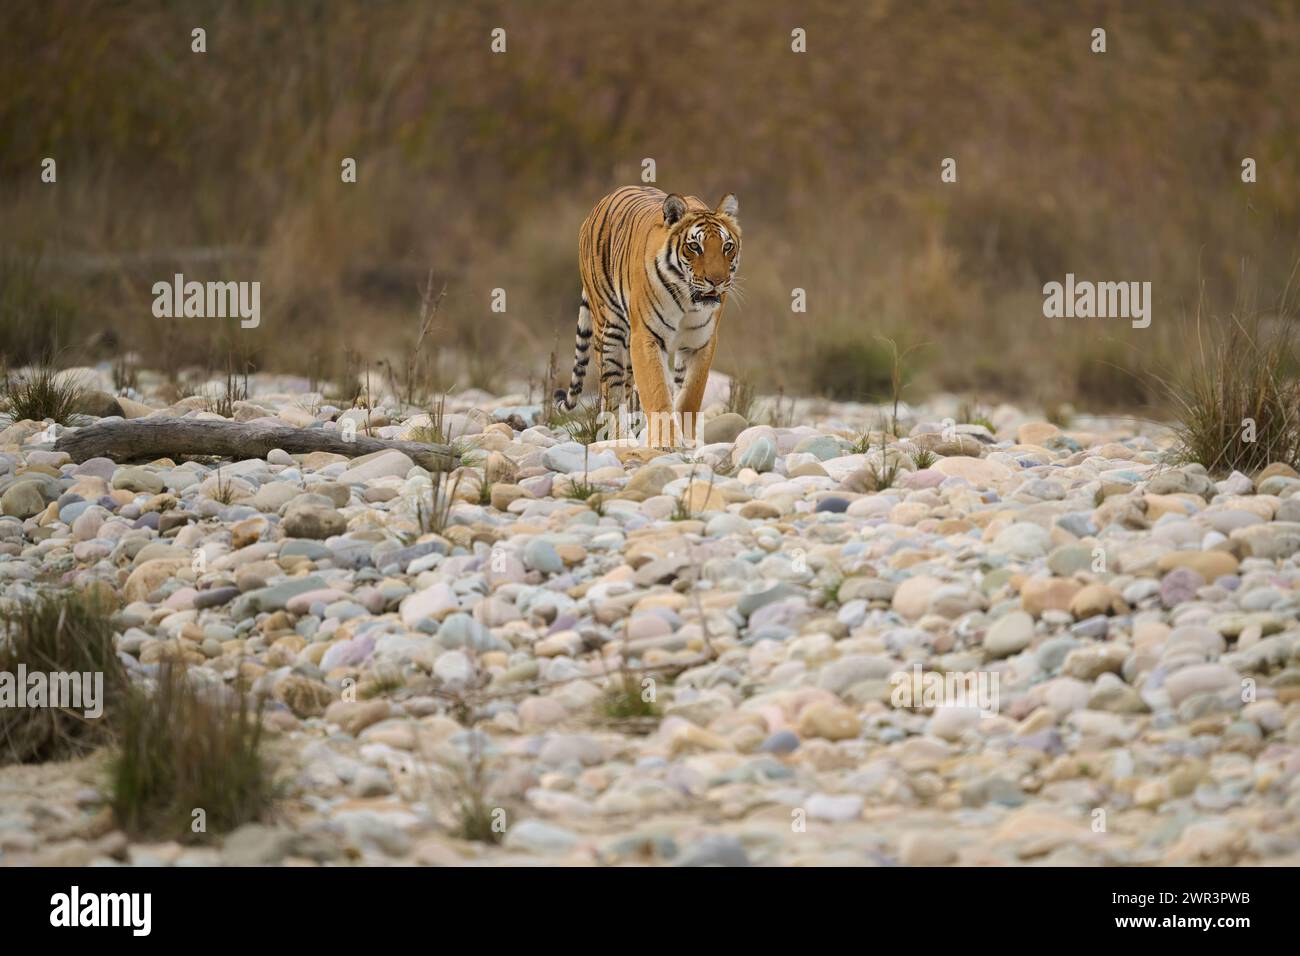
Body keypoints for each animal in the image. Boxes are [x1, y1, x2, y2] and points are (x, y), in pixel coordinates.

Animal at [553, 185, 743, 447]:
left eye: (727, 247)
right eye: (695, 247)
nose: (717, 281)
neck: (689, 302)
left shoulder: (701, 342)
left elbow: (690, 395)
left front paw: (687, 441)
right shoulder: (647, 337)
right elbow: (657, 392)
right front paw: (667, 443)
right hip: (609, 331)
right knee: (612, 394)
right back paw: (618, 438)